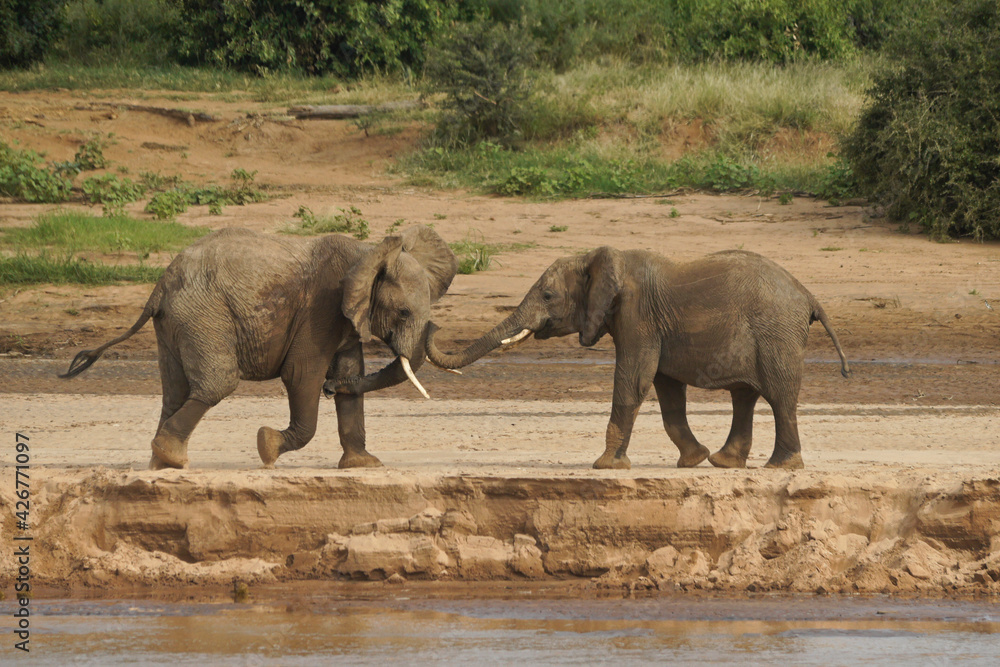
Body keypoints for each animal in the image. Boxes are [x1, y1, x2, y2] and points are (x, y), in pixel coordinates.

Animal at [61, 225, 458, 470]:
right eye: (404, 312)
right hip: (201, 314)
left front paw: (364, 465)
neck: (370, 251)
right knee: (217, 382)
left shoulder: (345, 318)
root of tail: (159, 287)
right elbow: (301, 375)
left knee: (175, 391)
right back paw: (170, 456)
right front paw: (267, 446)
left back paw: (163, 463)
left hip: (174, 323)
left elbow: (351, 374)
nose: (330, 390)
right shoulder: (321, 310)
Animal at [422, 247, 850, 470]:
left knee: (779, 397)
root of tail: (810, 296)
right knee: (744, 396)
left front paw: (605, 467)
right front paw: (692, 461)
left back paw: (781, 467)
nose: (432, 325)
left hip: (776, 332)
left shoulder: (638, 316)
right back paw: (723, 463)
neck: (601, 259)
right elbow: (666, 391)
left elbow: (633, 380)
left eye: (547, 295)